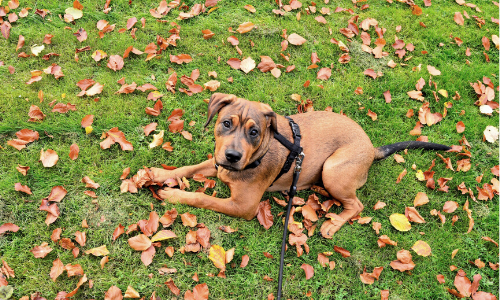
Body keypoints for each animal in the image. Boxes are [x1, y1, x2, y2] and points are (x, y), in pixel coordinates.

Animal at [139, 92, 452, 238]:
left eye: (255, 132)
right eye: (226, 123)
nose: (232, 156)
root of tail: (371, 147)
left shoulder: (244, 206)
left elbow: (203, 198)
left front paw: (174, 194)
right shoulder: (215, 164)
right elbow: (188, 169)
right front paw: (159, 173)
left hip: (333, 170)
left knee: (357, 205)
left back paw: (333, 224)